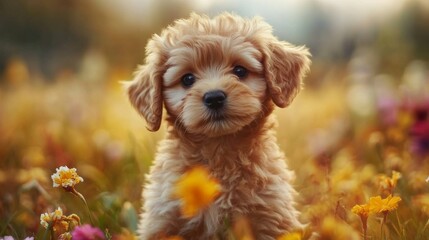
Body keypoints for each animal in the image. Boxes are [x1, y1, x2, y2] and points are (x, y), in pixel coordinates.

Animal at [125, 12, 310, 240]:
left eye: (240, 70)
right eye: (187, 79)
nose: (214, 97)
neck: (219, 151)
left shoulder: (272, 214)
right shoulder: (162, 217)